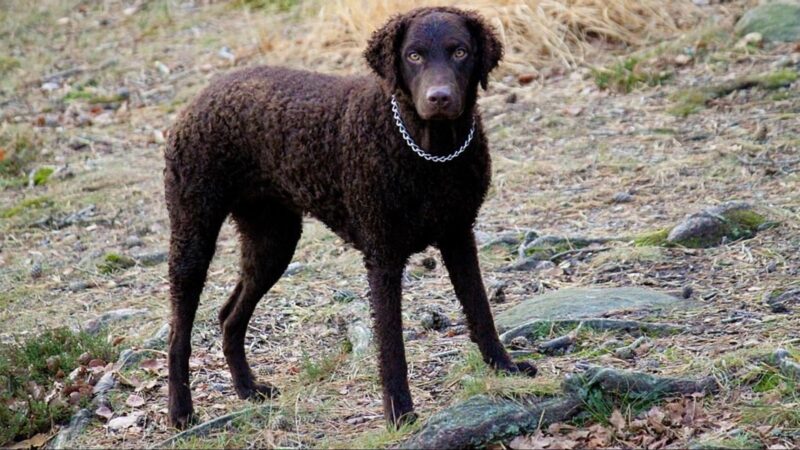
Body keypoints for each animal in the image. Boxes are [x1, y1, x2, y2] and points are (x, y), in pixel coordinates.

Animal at [165, 6, 536, 428]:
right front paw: (399, 411)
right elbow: (391, 345)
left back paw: (248, 388)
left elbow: (480, 311)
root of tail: (201, 96)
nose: (439, 98)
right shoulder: (383, 256)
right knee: (178, 332)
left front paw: (504, 368)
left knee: (229, 316)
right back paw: (180, 410)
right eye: (413, 55)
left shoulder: (459, 234)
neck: (430, 155)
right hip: (193, 231)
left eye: (460, 51)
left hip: (272, 240)